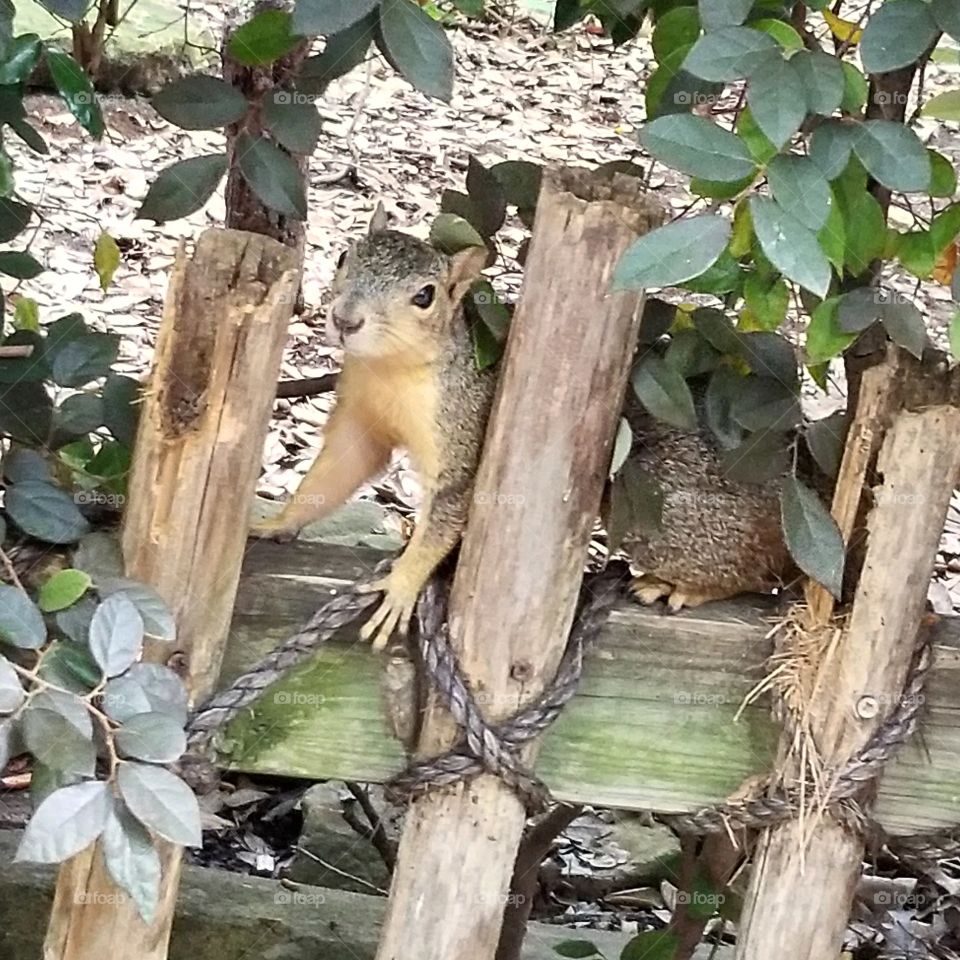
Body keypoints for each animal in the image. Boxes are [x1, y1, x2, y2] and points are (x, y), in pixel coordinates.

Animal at [252, 215, 799, 647]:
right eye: (345, 256)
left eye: (425, 296)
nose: (346, 321)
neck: (390, 370)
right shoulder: (361, 418)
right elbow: (336, 472)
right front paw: (276, 521)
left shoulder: (463, 434)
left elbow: (447, 513)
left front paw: (401, 584)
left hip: (660, 510)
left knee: (755, 574)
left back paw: (681, 585)